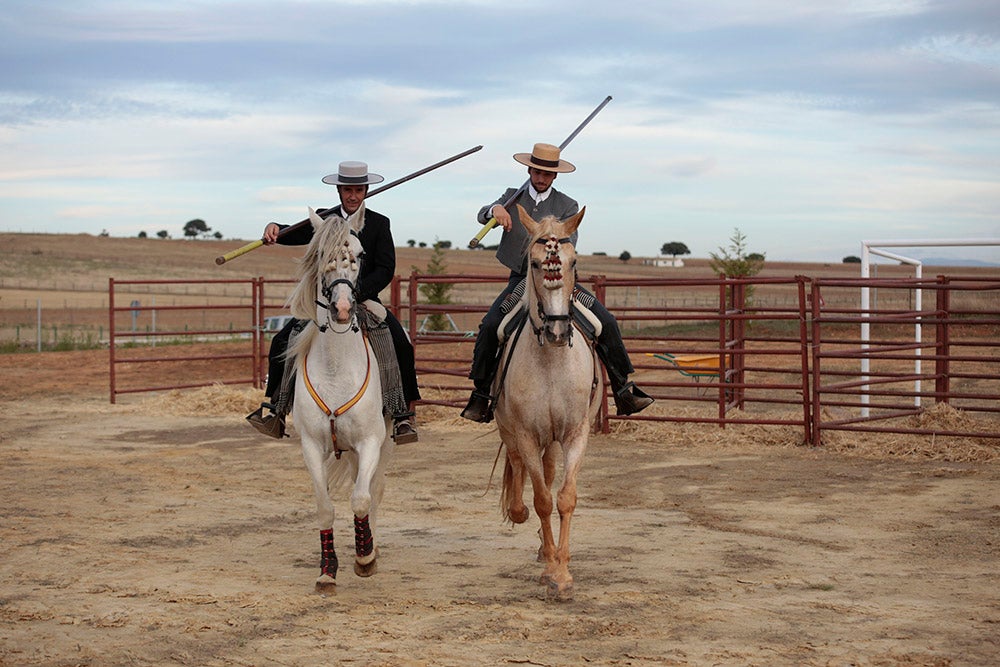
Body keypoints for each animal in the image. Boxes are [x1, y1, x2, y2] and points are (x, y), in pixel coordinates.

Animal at [286, 205, 394, 596]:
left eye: (360, 254)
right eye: (320, 254)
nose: (344, 309)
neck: (336, 366)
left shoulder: (370, 441)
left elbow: (361, 498)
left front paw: (365, 559)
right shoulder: (311, 446)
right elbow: (324, 507)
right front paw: (327, 572)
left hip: (384, 442)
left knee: (374, 490)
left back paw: (372, 547)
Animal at [494, 205, 600, 600]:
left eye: (573, 261)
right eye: (536, 263)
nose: (557, 330)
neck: (552, 361)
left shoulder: (575, 434)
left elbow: (565, 497)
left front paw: (562, 571)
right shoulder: (525, 434)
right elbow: (541, 498)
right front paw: (553, 571)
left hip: (553, 440)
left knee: (549, 472)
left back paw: (545, 547)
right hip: (512, 430)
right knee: (518, 467)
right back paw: (520, 514)